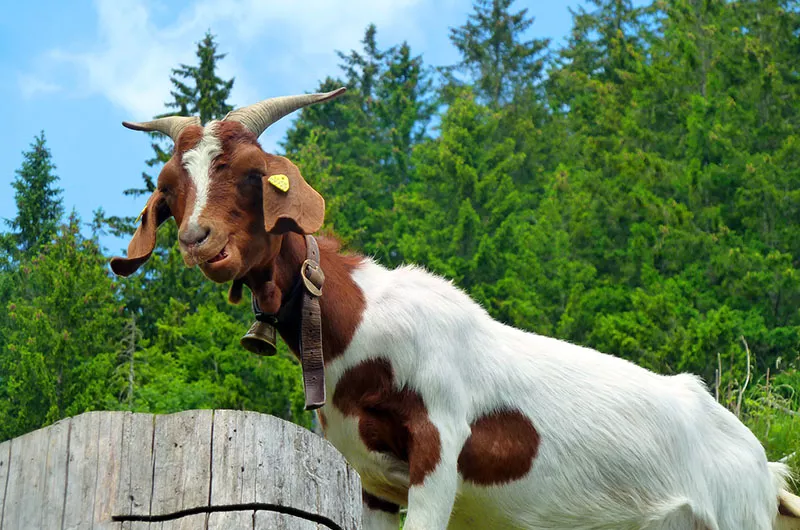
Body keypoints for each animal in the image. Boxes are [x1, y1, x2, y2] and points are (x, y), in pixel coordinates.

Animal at [111, 88, 800, 524]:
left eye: (254, 173)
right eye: (170, 190)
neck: (358, 324)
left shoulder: (440, 447)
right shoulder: (375, 484)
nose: (199, 240)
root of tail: (764, 469)